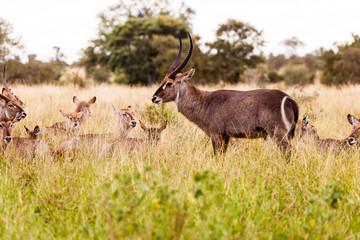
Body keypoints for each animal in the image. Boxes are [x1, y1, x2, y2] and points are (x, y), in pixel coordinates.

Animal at [151, 31, 298, 159]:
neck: (203, 101)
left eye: (169, 83)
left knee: (288, 153)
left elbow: (217, 157)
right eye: (163, 80)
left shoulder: (216, 135)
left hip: (278, 133)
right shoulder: (226, 137)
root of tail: (289, 99)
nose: (154, 98)